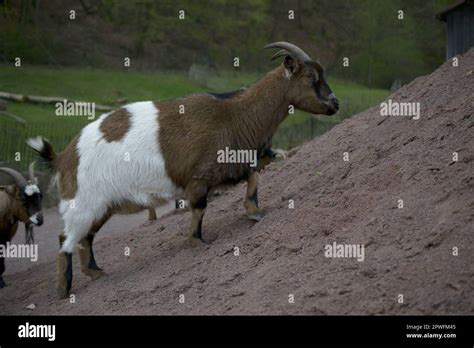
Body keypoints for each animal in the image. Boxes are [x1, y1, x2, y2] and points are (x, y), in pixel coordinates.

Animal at [26, 41, 336, 296]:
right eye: (311, 78)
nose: (335, 103)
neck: (234, 115)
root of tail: (64, 156)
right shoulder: (199, 177)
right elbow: (199, 208)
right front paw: (197, 241)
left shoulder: (234, 164)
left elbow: (253, 178)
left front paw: (254, 211)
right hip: (82, 202)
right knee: (65, 240)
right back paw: (64, 290)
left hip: (101, 205)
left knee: (85, 237)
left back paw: (95, 272)